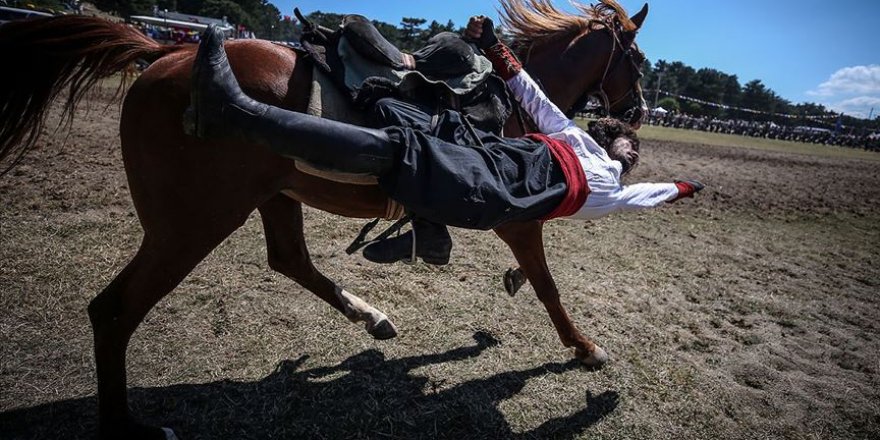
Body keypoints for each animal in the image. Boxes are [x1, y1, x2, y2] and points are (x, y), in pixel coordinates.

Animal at [0, 1, 648, 438]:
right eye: (639, 63)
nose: (638, 112)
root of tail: (167, 52)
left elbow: (533, 277)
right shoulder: (518, 213)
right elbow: (547, 284)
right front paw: (584, 348)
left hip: (268, 196)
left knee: (288, 258)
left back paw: (372, 317)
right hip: (192, 222)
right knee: (114, 310)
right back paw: (126, 426)